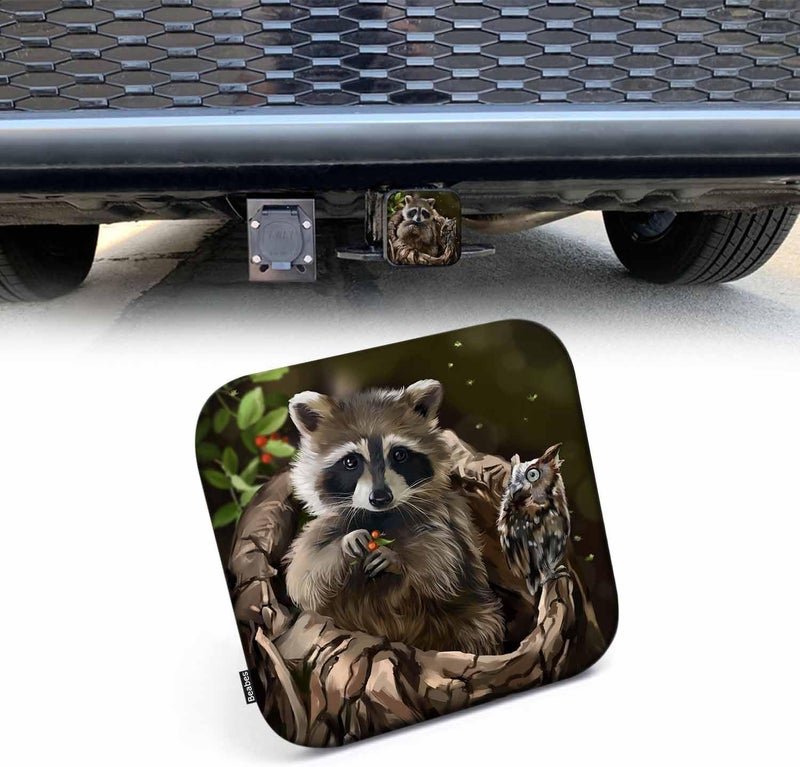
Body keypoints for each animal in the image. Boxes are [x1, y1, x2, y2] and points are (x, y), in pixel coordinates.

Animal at [283, 379, 504, 655]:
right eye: (350, 461)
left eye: (399, 455)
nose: (380, 497)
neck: (380, 516)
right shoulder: (325, 526)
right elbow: (303, 576)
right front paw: (345, 544)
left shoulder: (446, 516)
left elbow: (445, 567)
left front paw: (397, 558)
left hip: (469, 616)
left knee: (480, 627)